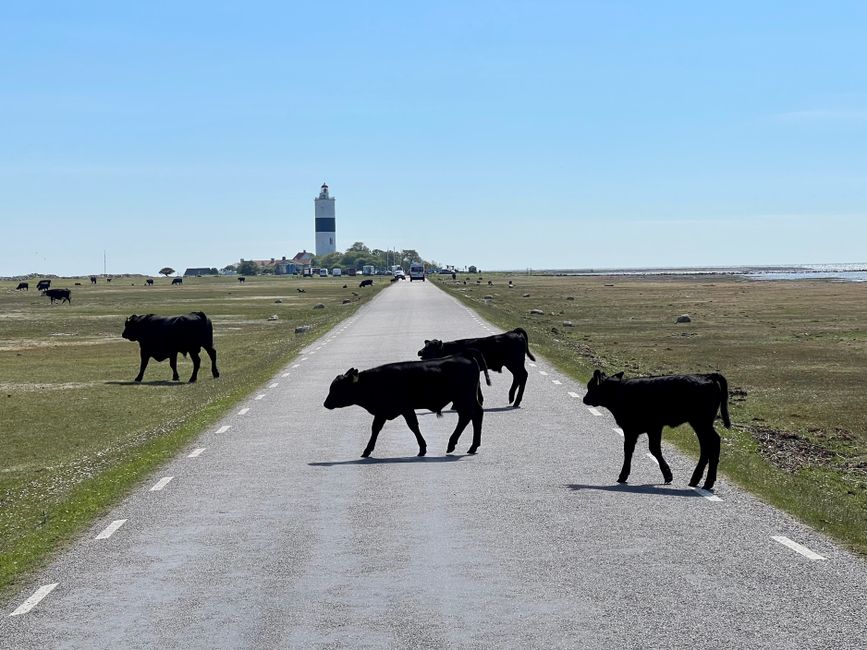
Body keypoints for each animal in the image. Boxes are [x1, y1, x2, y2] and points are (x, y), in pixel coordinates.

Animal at [324, 350, 488, 456]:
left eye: (338, 388)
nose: (325, 403)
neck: (375, 382)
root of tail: (464, 355)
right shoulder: (382, 412)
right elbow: (376, 429)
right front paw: (367, 450)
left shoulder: (404, 408)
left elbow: (413, 426)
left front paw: (422, 448)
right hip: (461, 400)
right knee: (467, 417)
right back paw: (459, 445)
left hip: (465, 398)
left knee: (475, 414)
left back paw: (469, 446)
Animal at [584, 368, 732, 488]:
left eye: (591, 386)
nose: (585, 399)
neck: (619, 392)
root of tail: (708, 376)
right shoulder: (652, 428)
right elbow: (652, 449)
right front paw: (667, 475)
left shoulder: (633, 429)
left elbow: (634, 450)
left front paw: (623, 476)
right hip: (700, 424)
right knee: (706, 446)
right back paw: (695, 480)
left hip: (701, 422)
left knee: (713, 442)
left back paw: (708, 482)